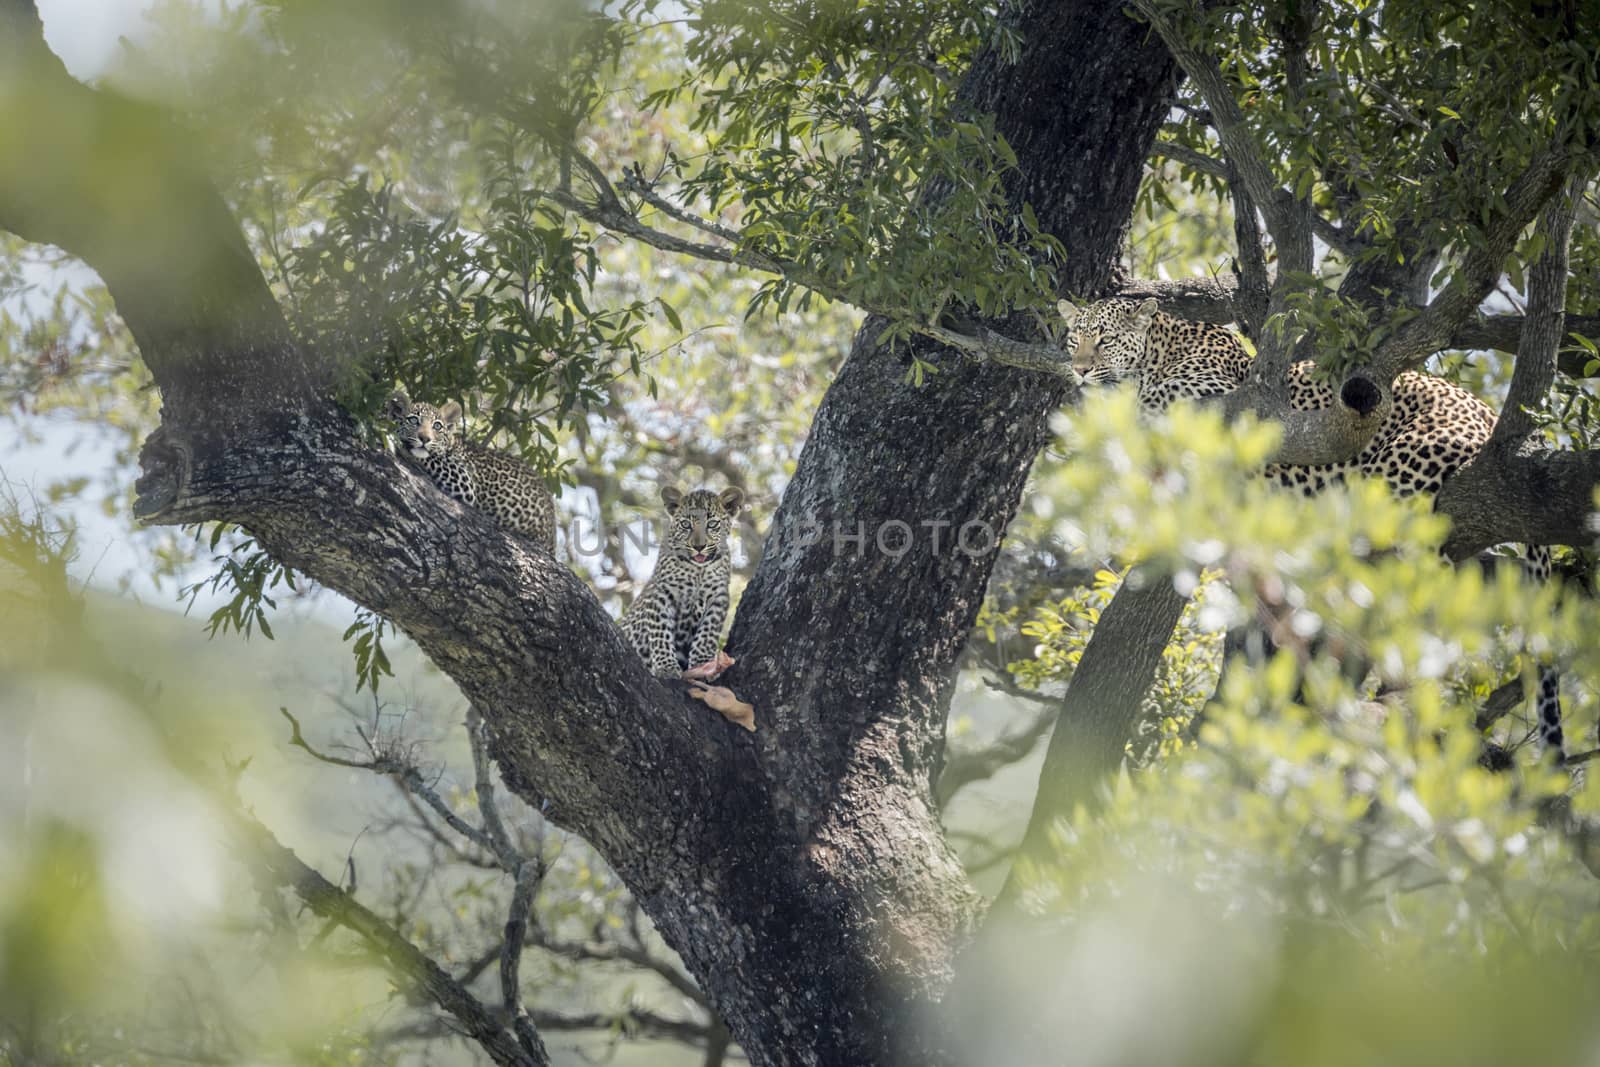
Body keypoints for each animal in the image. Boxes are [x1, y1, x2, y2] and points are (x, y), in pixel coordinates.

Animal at [384, 395, 560, 559]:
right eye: (413, 420)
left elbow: (429, 457)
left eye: (437, 426)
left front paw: (396, 440)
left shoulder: (463, 481)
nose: (425, 439)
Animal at [620, 486, 745, 681]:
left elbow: (708, 632)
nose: (699, 547)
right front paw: (666, 668)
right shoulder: (660, 593)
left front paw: (703, 664)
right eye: (686, 525)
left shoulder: (719, 596)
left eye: (712, 524)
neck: (698, 571)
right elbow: (660, 632)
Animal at [1062, 299, 1561, 758]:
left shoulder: (1221, 400)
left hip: (1390, 484)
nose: (1079, 371)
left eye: (1104, 340)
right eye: (1074, 340)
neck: (1161, 350)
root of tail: (1496, 419)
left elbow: (1163, 401)